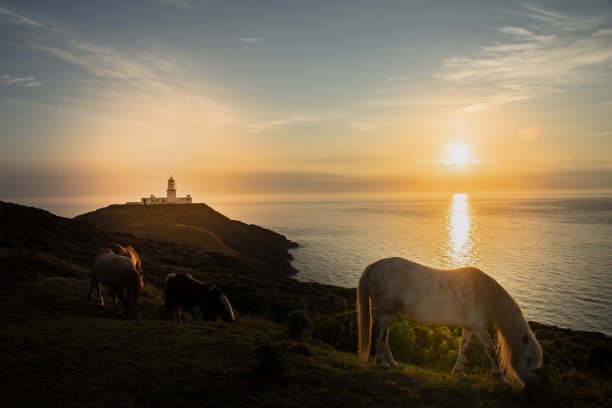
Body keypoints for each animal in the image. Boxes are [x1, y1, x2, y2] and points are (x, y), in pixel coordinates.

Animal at [356, 258, 544, 386]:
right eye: (528, 359)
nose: (531, 385)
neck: (483, 295)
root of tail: (374, 266)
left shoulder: (470, 327)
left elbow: (464, 348)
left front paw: (458, 372)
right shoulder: (479, 328)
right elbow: (490, 350)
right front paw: (501, 377)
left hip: (389, 312)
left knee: (385, 336)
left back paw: (392, 363)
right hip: (385, 311)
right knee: (379, 334)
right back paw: (382, 363)